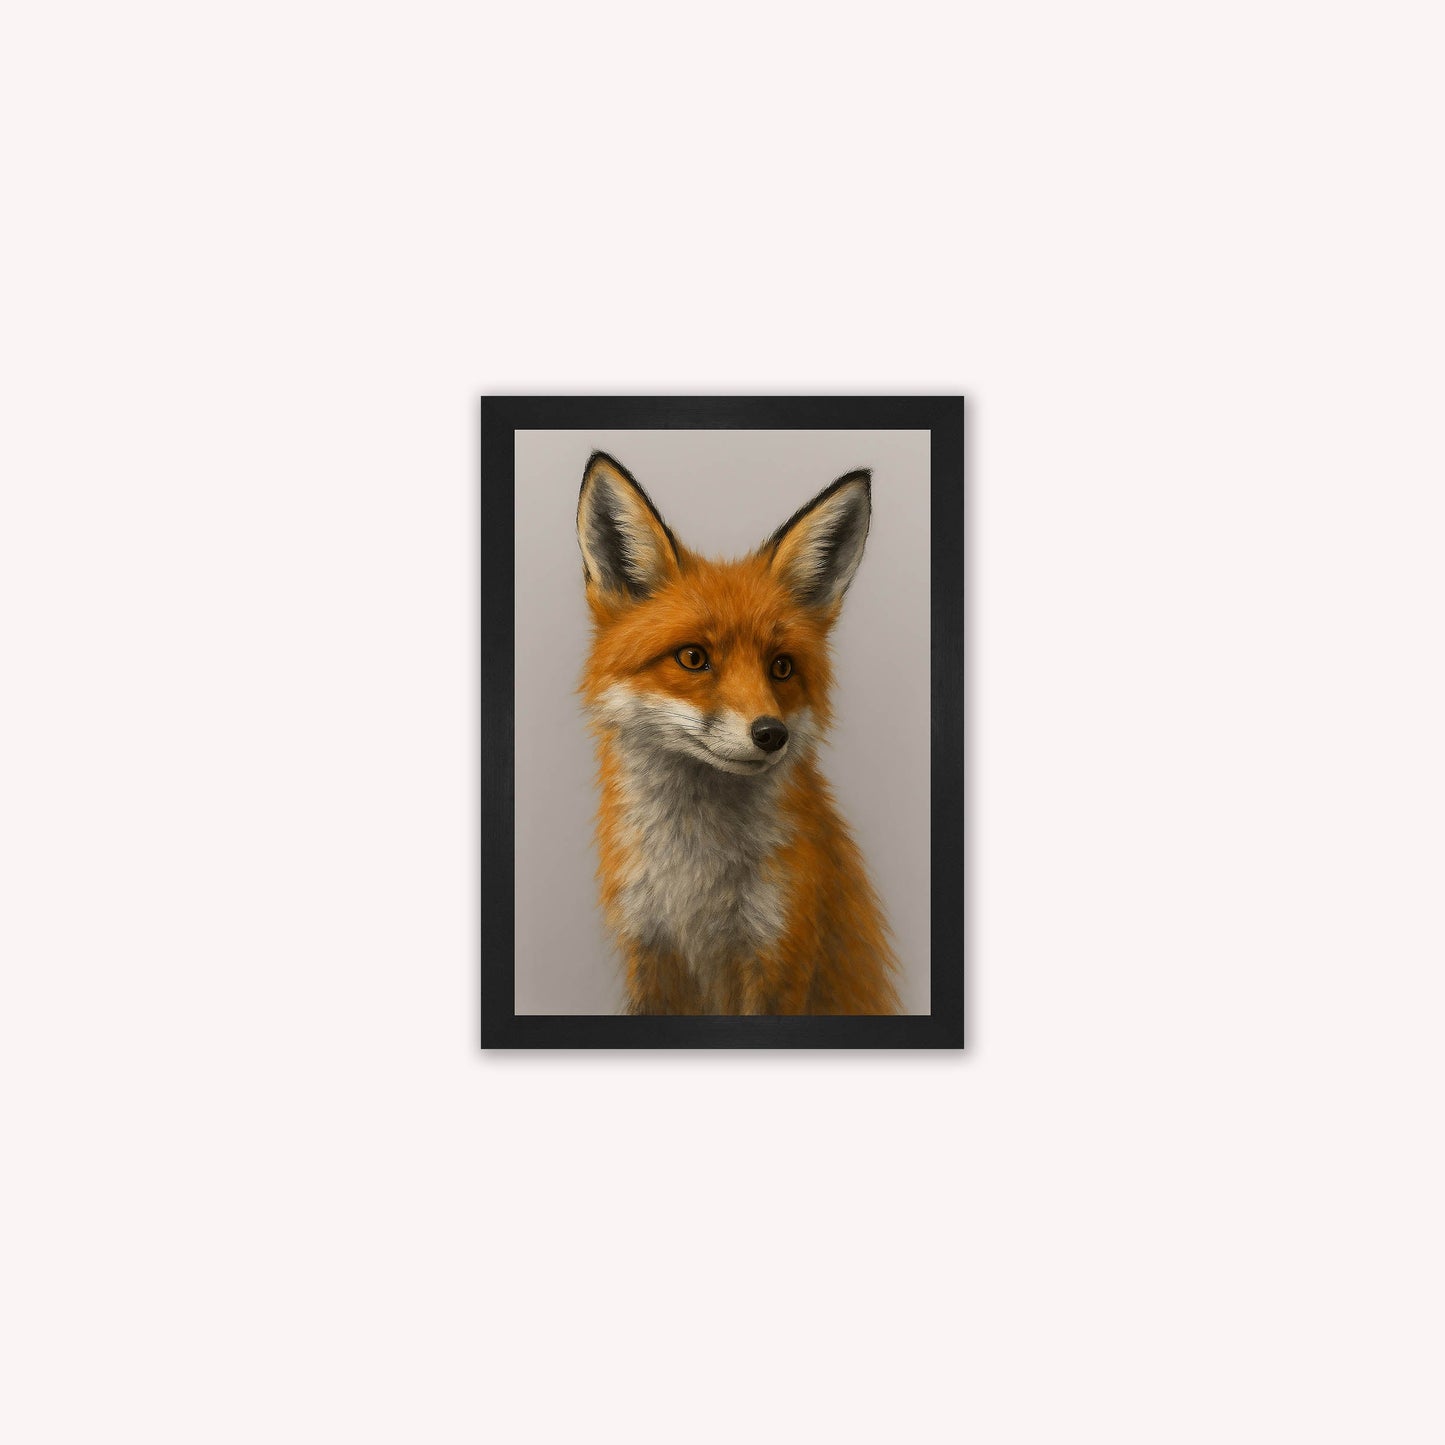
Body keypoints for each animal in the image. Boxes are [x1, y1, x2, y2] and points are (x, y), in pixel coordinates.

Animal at [576, 450, 901, 1016]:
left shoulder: (779, 953)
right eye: (693, 658)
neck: (694, 882)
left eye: (781, 667)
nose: (772, 734)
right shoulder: (650, 951)